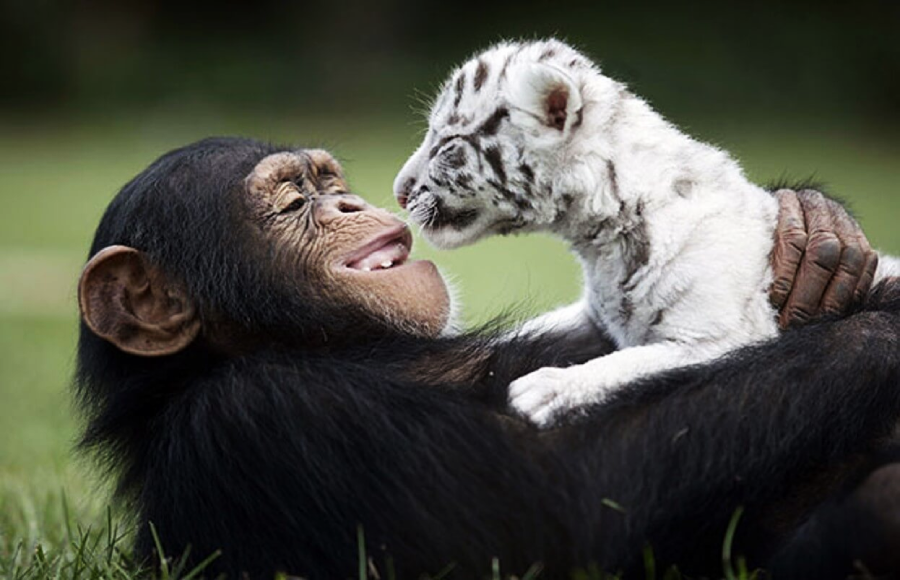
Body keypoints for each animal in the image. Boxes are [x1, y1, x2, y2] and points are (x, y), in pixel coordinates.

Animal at [393, 38, 898, 426]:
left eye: (447, 145)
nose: (399, 192)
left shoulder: (718, 337)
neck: (600, 240)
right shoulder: (592, 317)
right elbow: (523, 333)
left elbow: (636, 363)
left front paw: (546, 388)